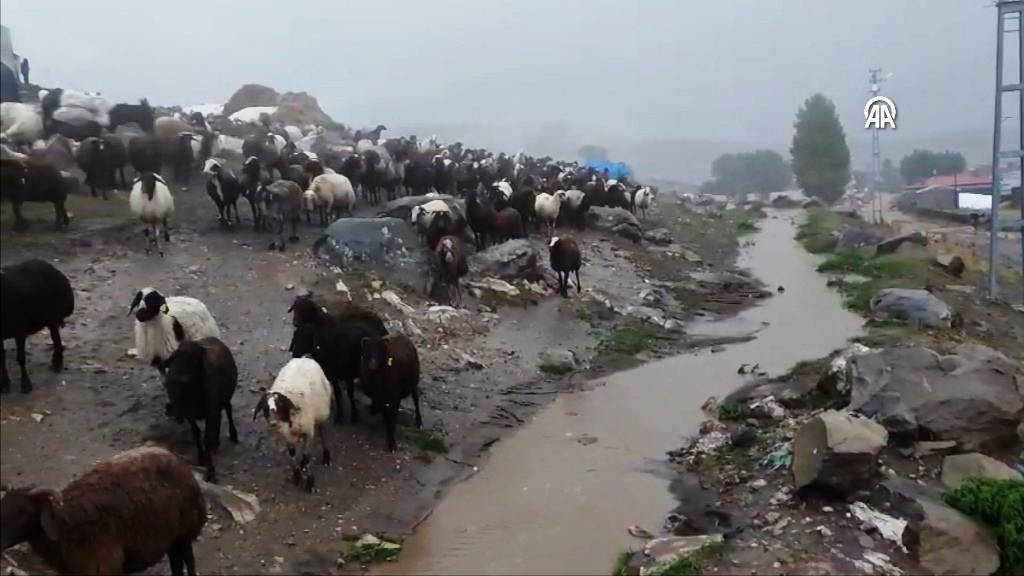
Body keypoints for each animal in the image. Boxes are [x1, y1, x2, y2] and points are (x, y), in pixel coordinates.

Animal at [0, 259, 74, 389]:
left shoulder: (20, 331)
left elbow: (21, 358)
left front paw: (25, 384)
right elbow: (2, 358)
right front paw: (4, 384)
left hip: (53, 317)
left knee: (56, 339)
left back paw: (57, 364)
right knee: (56, 338)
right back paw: (56, 364)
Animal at [160, 336, 238, 479]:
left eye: (197, 356)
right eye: (176, 356)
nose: (182, 377)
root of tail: (212, 337)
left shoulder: (210, 411)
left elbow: (206, 439)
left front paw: (210, 470)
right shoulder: (189, 414)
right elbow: (196, 434)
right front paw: (201, 457)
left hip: (225, 396)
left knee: (228, 411)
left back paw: (233, 435)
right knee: (219, 418)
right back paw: (216, 443)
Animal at [253, 358, 333, 487]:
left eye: (280, 404)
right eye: (265, 408)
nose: (273, 422)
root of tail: (304, 357)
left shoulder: (308, 433)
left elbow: (307, 456)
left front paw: (310, 482)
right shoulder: (286, 437)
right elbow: (292, 454)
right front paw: (297, 476)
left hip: (322, 413)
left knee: (322, 432)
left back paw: (326, 456)